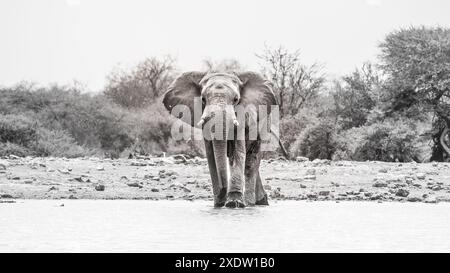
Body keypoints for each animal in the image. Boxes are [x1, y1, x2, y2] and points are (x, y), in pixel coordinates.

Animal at [162, 71, 282, 207]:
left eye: (236, 100)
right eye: (203, 99)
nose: (221, 193)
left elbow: (238, 150)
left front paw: (234, 203)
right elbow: (211, 154)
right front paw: (218, 204)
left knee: (251, 160)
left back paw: (250, 203)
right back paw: (260, 201)